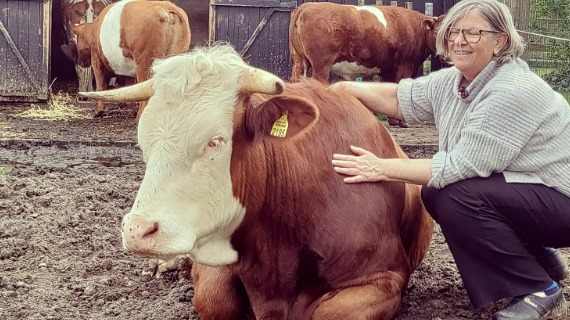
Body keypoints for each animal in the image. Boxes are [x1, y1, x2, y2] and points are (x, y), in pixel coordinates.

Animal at [288, 2, 440, 127]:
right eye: (437, 32)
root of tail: (307, 5)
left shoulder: (389, 69)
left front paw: (393, 121)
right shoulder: (406, 65)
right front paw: (403, 122)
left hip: (298, 60)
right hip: (321, 64)